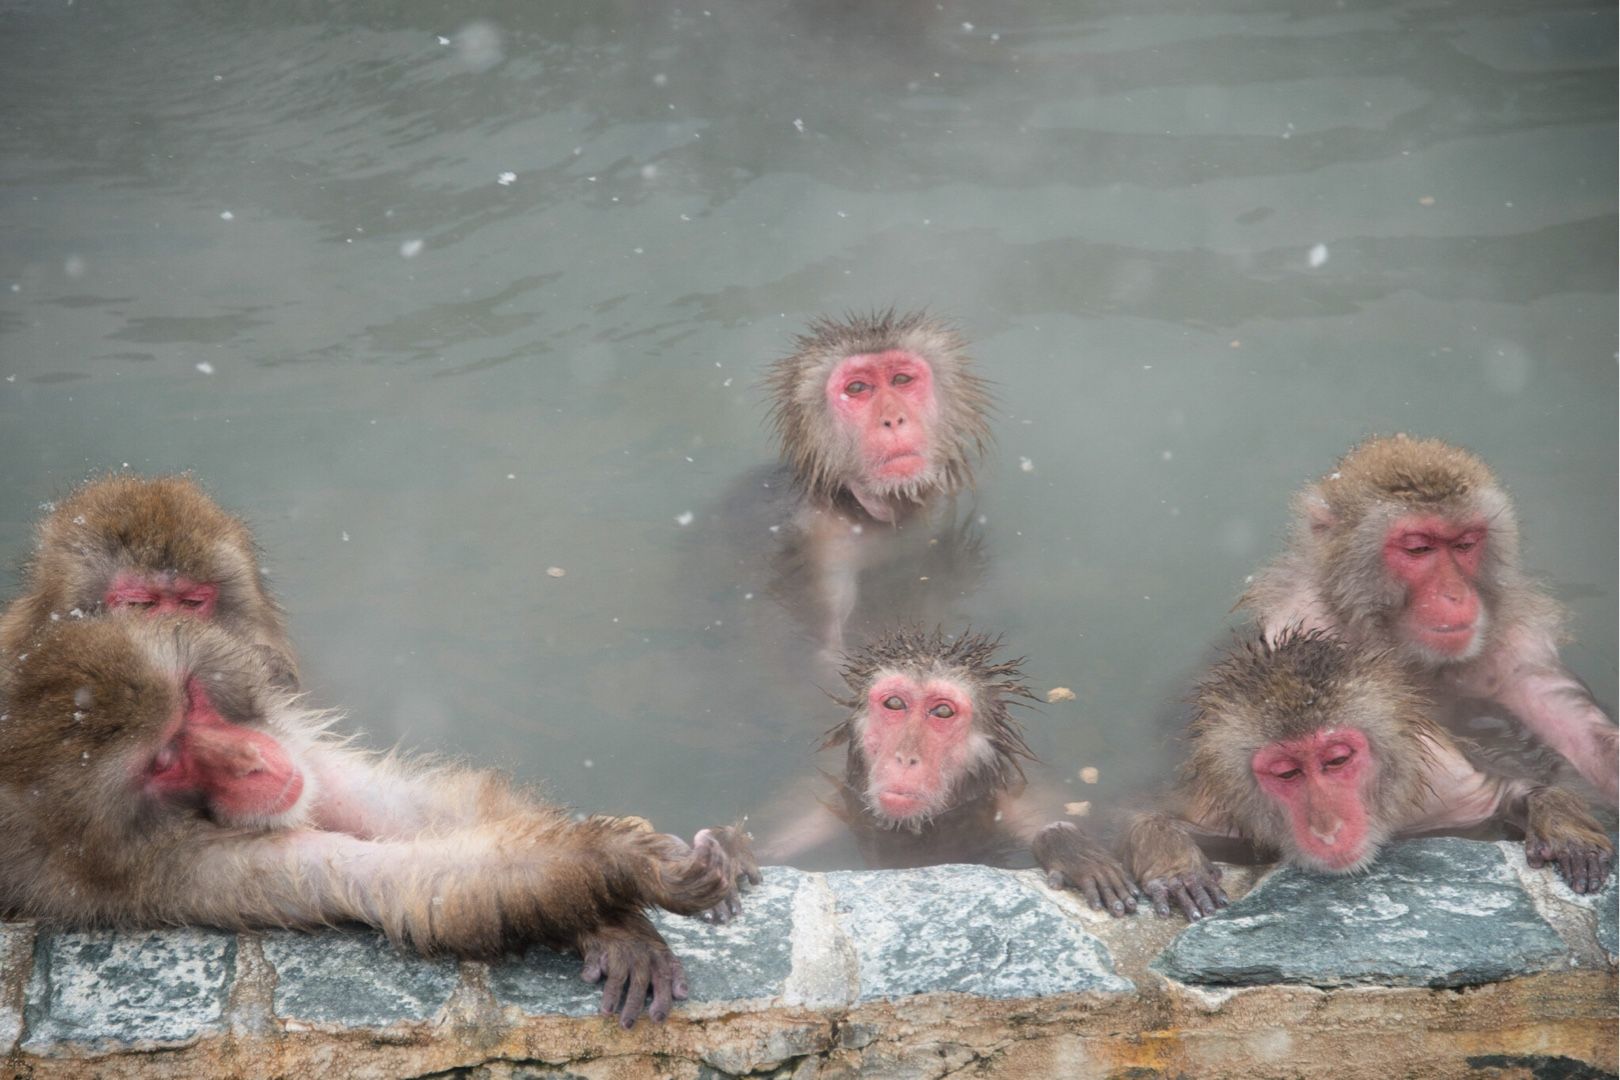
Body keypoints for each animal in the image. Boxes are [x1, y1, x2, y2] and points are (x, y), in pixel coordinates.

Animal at [0, 615, 758, 1029]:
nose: (251, 758)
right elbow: (409, 883)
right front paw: (632, 862)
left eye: (193, 705)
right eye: (164, 759)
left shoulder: (289, 749)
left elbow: (408, 810)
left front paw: (616, 922)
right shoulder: (171, 870)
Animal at [1062, 634, 1607, 919]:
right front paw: (1172, 863)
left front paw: (1565, 828)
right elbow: (1130, 811)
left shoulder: (1441, 786)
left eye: (1337, 760)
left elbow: (1513, 793)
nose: (1328, 828)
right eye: (1286, 771)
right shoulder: (1224, 804)